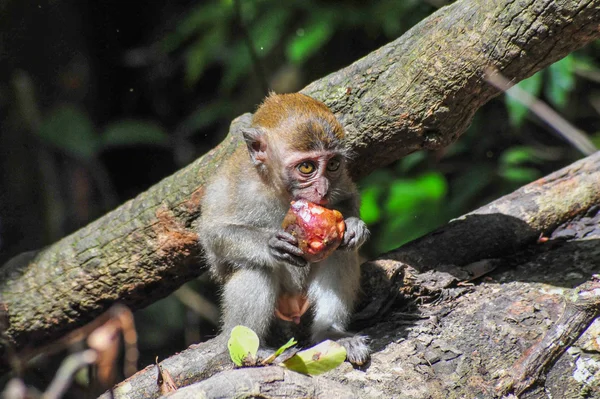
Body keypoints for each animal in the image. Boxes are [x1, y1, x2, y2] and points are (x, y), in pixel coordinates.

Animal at [198, 91, 370, 366]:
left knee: (340, 251)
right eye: (307, 167)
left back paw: (330, 331)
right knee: (256, 267)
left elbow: (347, 200)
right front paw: (271, 244)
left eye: (333, 164)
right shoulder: (231, 183)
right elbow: (213, 235)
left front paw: (354, 226)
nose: (322, 190)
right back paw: (253, 350)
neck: (277, 188)